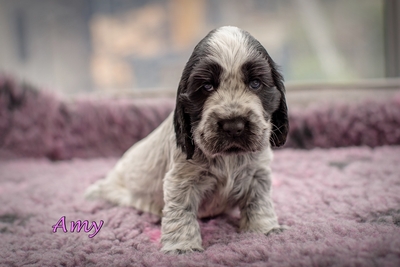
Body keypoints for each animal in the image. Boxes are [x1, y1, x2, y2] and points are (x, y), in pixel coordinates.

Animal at [86, 26, 290, 254]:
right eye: (207, 87)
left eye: (255, 83)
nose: (233, 126)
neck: (228, 158)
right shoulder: (182, 180)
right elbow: (181, 211)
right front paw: (182, 247)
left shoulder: (258, 173)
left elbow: (259, 202)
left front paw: (264, 230)